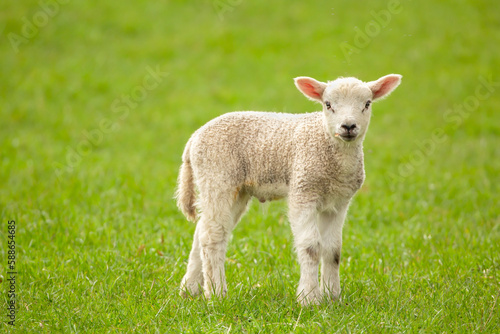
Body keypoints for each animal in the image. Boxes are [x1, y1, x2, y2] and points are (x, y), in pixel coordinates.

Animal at [176, 73, 402, 306]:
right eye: (328, 104)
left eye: (367, 104)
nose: (348, 126)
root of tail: (194, 137)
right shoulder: (303, 191)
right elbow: (311, 247)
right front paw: (310, 298)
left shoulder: (338, 202)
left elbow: (333, 250)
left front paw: (332, 296)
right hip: (217, 177)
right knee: (212, 236)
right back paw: (217, 294)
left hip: (236, 191)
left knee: (202, 230)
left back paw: (190, 289)